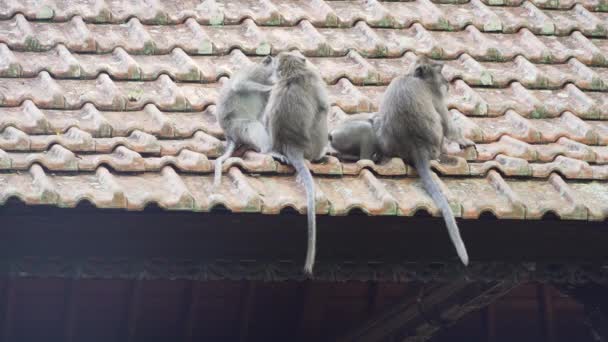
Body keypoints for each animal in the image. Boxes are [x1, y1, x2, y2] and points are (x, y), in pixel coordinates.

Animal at [211, 56, 274, 190]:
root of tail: (229, 135)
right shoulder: (255, 71)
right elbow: (239, 84)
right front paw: (271, 87)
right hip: (235, 127)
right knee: (251, 124)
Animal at [262, 50, 328, 276]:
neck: (294, 75)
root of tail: (292, 145)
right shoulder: (315, 81)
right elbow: (325, 106)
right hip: (314, 144)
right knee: (322, 116)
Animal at [372, 55, 472, 264]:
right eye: (440, 72)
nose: (447, 83)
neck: (413, 76)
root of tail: (416, 147)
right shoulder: (436, 96)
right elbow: (449, 126)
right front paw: (464, 141)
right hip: (435, 145)